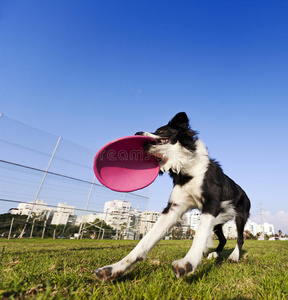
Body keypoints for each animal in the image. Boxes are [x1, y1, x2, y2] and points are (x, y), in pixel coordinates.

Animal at [95, 112, 251, 282]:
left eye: (161, 131)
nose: (137, 133)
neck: (186, 169)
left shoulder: (211, 204)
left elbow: (200, 234)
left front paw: (188, 263)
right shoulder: (174, 208)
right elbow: (145, 240)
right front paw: (114, 268)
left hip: (239, 216)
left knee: (240, 238)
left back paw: (234, 256)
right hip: (218, 221)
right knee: (223, 239)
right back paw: (215, 254)